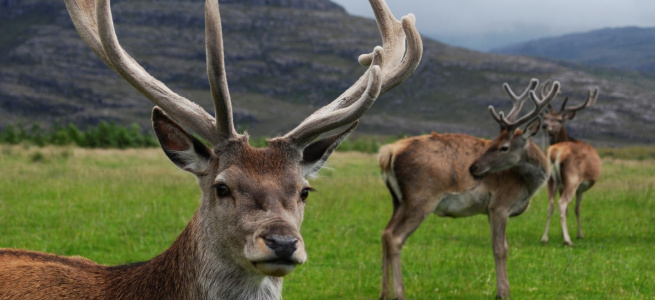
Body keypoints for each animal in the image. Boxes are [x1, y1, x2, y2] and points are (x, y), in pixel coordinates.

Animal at [380, 78, 560, 298]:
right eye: (493, 142)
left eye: (503, 146)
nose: (473, 168)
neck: (526, 185)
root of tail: (388, 152)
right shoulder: (500, 205)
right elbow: (500, 249)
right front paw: (504, 293)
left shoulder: (490, 210)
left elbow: (502, 246)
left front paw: (501, 291)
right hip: (420, 198)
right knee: (395, 237)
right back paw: (399, 294)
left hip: (397, 200)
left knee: (385, 233)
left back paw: (384, 293)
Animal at [540, 84, 604, 246]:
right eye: (546, 117)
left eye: (558, 119)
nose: (544, 125)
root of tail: (555, 152)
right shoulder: (581, 186)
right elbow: (577, 209)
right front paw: (580, 234)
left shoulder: (562, 185)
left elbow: (571, 209)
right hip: (572, 177)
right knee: (562, 204)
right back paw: (567, 241)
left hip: (552, 180)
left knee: (550, 204)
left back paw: (544, 238)